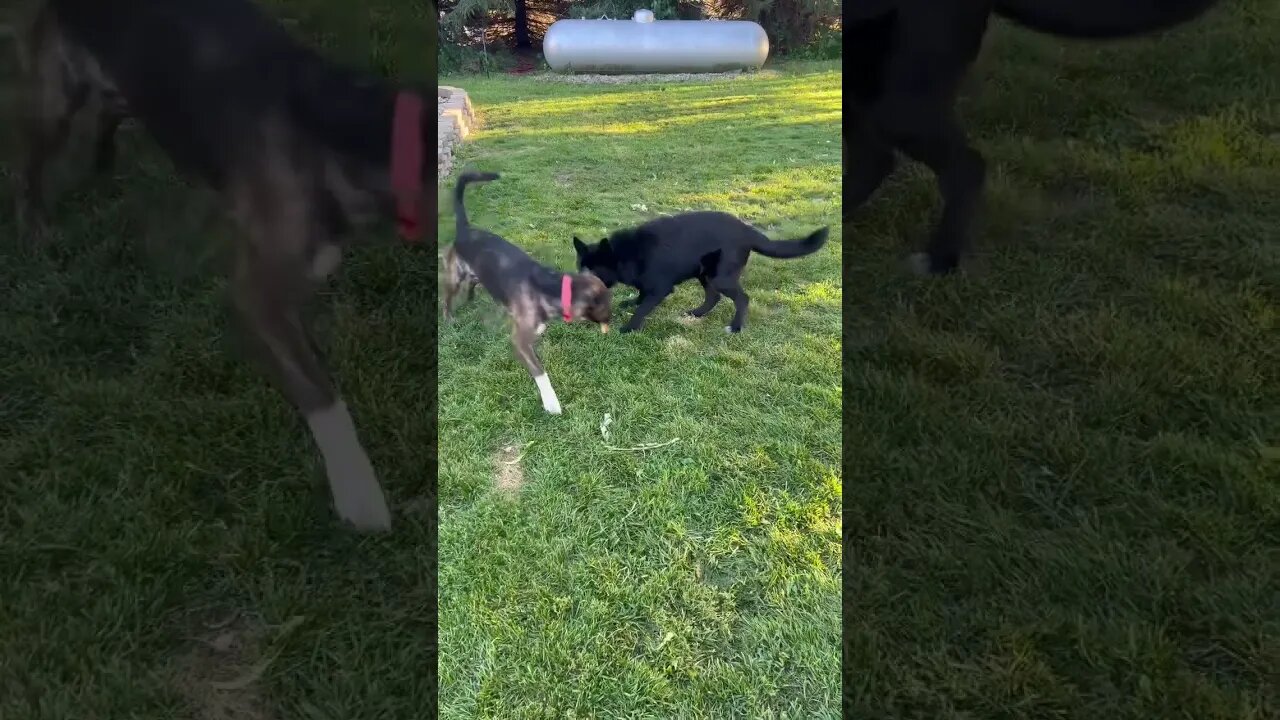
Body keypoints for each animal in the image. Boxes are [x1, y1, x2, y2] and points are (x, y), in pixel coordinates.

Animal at [16, 0, 440, 527]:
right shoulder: (257, 293)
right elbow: (322, 396)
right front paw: (359, 495)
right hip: (55, 98)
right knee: (30, 164)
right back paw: (35, 225)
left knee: (106, 116)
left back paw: (103, 171)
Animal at [445, 170, 614, 412]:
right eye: (607, 302)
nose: (612, 318)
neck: (552, 287)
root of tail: (465, 229)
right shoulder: (520, 341)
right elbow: (540, 372)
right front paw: (551, 403)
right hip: (454, 276)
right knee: (446, 298)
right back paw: (449, 318)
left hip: (476, 274)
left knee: (472, 285)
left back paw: (470, 301)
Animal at [573, 210, 829, 333]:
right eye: (580, 266)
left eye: (593, 270)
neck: (626, 254)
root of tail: (747, 230)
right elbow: (640, 296)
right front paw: (631, 303)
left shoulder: (661, 289)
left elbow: (643, 307)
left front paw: (629, 327)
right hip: (704, 273)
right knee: (713, 297)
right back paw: (696, 313)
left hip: (720, 276)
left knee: (742, 298)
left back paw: (736, 327)